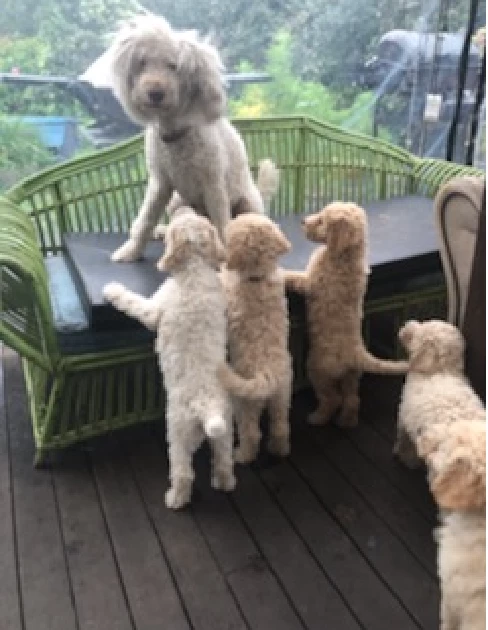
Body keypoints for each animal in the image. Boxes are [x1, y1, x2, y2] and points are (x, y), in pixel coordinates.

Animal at [103, 209, 235, 509]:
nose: (180, 209)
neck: (195, 268)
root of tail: (207, 406)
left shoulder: (153, 309)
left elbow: (133, 302)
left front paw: (112, 290)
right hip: (224, 431)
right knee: (224, 460)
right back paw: (224, 482)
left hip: (177, 432)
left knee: (184, 472)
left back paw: (175, 499)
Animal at [107, 15, 278, 261]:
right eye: (143, 63)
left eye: (173, 66)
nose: (155, 93)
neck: (175, 133)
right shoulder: (160, 183)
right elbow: (146, 218)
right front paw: (131, 251)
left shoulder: (213, 184)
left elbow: (221, 222)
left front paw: (224, 255)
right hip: (177, 201)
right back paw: (164, 230)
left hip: (247, 205)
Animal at [218, 214, 293, 464]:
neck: (257, 278)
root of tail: (267, 375)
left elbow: (224, 275)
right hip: (282, 395)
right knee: (280, 427)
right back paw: (279, 449)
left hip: (245, 402)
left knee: (251, 433)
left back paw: (242, 455)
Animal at [285, 202, 408, 428]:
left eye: (322, 221)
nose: (303, 221)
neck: (345, 255)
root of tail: (357, 354)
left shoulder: (310, 283)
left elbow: (292, 276)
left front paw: (279, 272)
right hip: (351, 376)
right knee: (352, 399)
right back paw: (346, 422)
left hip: (318, 370)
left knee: (333, 398)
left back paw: (317, 418)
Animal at [394, 319, 485, 468]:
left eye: (422, 328)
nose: (406, 325)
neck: (442, 370)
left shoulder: (404, 416)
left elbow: (404, 440)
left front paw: (406, 458)